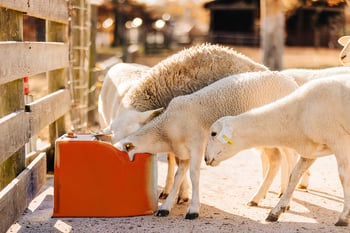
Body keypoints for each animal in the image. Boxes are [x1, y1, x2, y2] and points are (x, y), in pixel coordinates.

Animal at [113, 70, 300, 218]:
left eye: (124, 151)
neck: (166, 129)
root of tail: (292, 82)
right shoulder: (183, 153)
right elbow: (179, 177)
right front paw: (165, 207)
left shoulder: (196, 145)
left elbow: (194, 175)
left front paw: (193, 209)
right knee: (275, 159)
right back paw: (256, 198)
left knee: (290, 158)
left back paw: (285, 200)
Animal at [204, 74, 350, 226]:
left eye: (213, 133)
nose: (206, 158)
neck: (297, 114)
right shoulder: (312, 148)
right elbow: (294, 175)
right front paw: (277, 211)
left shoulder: (340, 141)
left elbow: (344, 176)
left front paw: (344, 217)